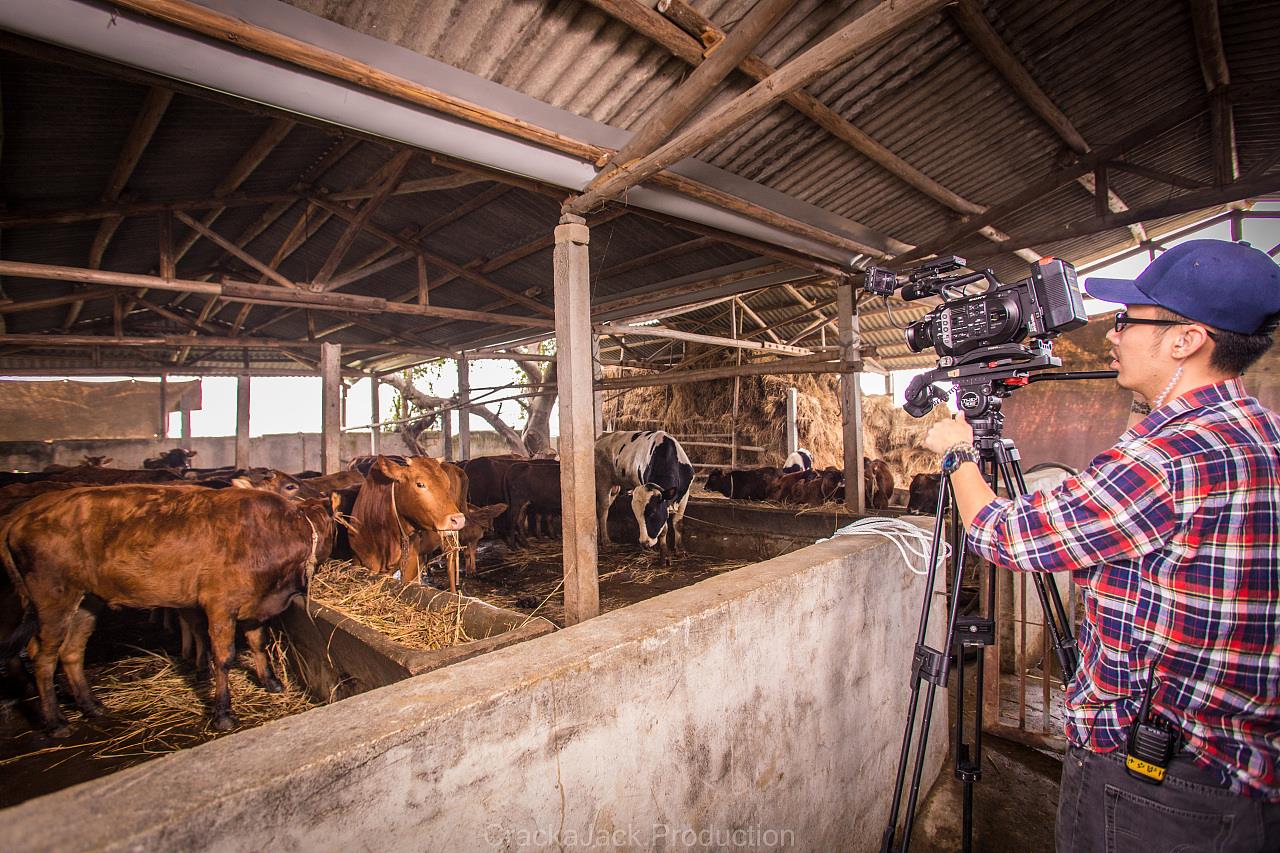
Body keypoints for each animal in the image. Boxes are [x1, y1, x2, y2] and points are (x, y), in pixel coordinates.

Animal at [0, 481, 340, 732]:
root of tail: (21, 516)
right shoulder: (220, 603)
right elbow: (224, 657)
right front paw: (223, 713)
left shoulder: (255, 602)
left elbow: (258, 642)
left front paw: (271, 681)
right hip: (53, 596)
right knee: (43, 656)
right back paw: (56, 721)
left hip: (87, 601)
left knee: (71, 651)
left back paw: (92, 706)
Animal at [596, 427, 696, 560]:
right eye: (636, 516)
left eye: (652, 512)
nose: (644, 543)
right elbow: (664, 529)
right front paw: (664, 554)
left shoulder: (684, 494)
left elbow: (678, 523)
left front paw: (680, 550)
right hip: (603, 481)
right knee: (603, 510)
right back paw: (606, 541)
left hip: (614, 488)